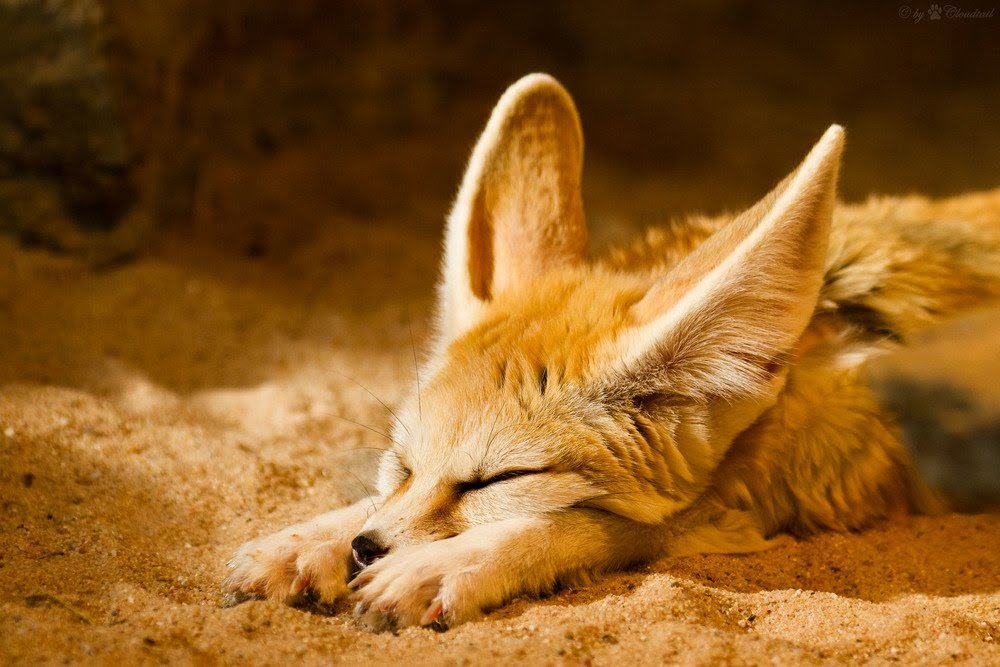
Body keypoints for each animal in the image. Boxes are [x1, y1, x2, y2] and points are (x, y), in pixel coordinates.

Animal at [222, 74, 1000, 631]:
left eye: (499, 479)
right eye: (403, 462)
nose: (366, 550)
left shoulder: (773, 498)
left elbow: (584, 523)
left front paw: (456, 560)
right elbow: (375, 502)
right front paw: (314, 539)